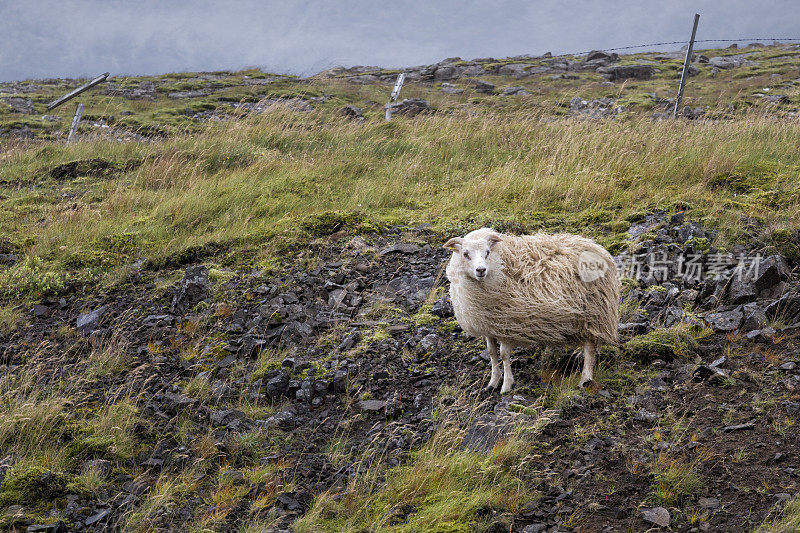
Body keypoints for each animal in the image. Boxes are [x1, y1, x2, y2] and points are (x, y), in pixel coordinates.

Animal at [444, 227, 620, 392]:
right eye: (465, 254)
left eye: (487, 252)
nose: (481, 270)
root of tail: (597, 247)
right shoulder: (488, 325)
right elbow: (492, 353)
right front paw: (493, 382)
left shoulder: (508, 324)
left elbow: (504, 355)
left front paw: (506, 385)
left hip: (594, 313)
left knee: (590, 347)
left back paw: (585, 379)